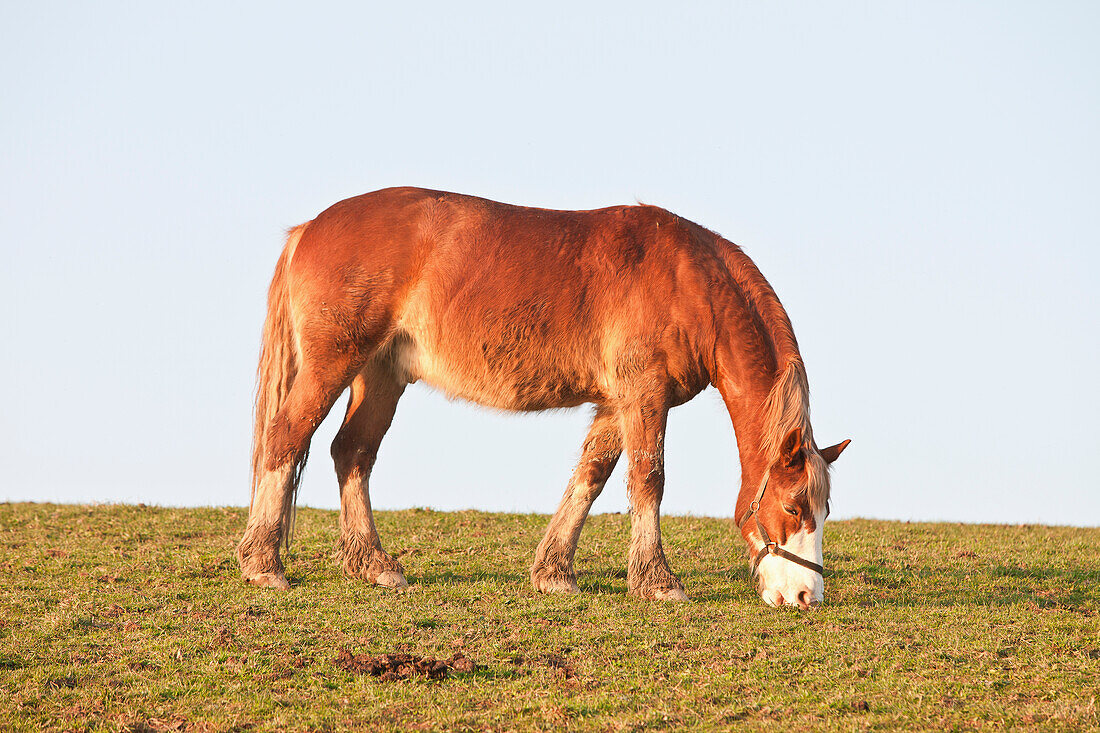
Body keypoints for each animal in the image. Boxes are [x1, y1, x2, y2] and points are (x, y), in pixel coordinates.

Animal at [236, 187, 844, 603]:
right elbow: (648, 480)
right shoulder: (643, 397)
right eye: (794, 505)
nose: (805, 597)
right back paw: (264, 563)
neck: (689, 281)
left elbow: (590, 478)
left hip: (381, 376)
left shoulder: (615, 405)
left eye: (825, 508)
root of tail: (309, 228)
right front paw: (657, 581)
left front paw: (554, 572)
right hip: (332, 365)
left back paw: (372, 563)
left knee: (352, 454)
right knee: (286, 439)